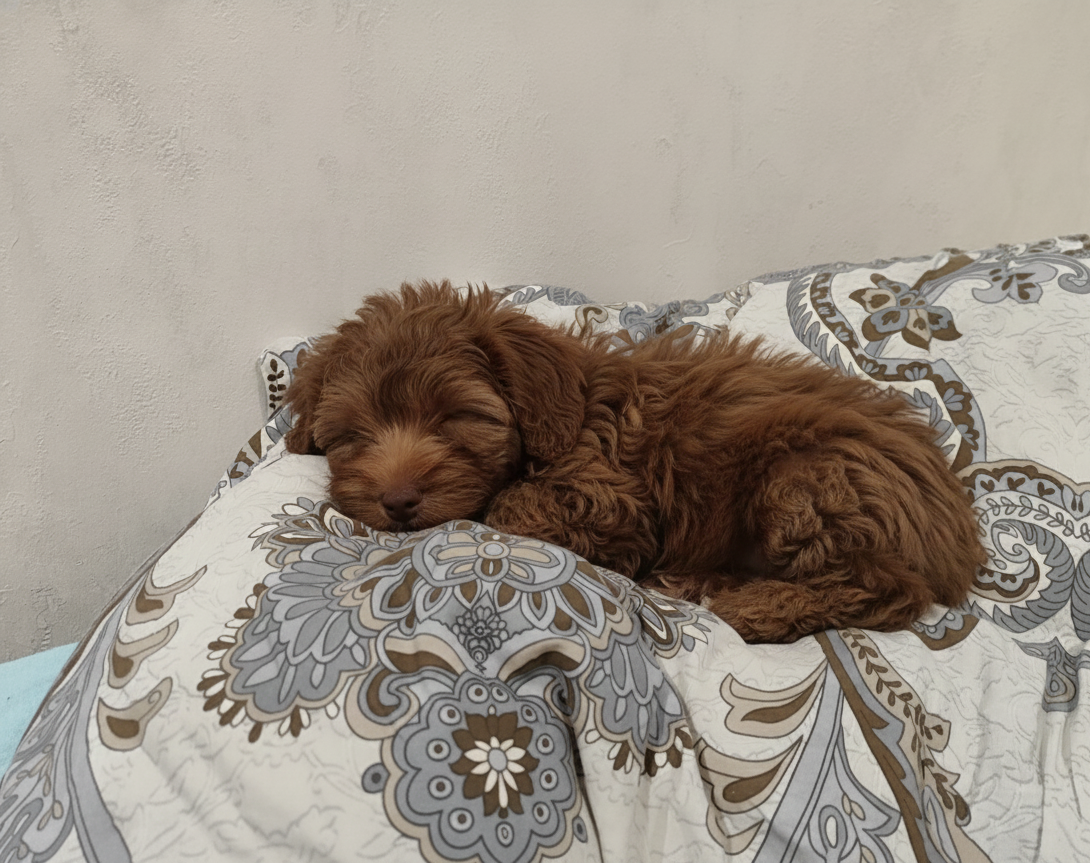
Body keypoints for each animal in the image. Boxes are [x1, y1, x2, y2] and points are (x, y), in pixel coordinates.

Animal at [283, 281, 985, 642]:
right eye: (351, 434)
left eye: (454, 418)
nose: (398, 502)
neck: (568, 412)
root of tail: (957, 533)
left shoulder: (611, 498)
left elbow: (511, 507)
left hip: (809, 478)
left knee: (888, 587)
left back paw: (752, 605)